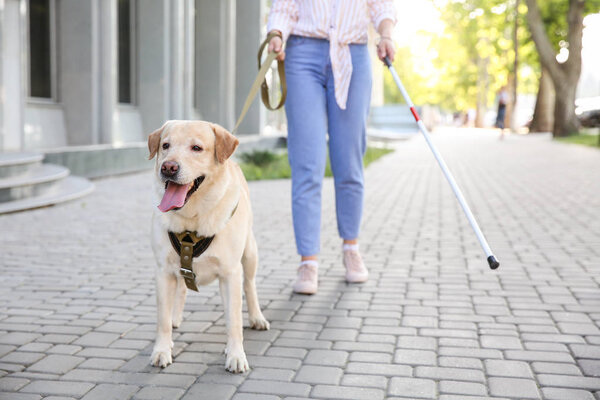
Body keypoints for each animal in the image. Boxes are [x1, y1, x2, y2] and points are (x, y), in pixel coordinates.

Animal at [146, 120, 268, 374]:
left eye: (197, 148)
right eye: (165, 145)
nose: (168, 167)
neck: (191, 219)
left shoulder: (231, 273)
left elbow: (234, 321)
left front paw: (236, 355)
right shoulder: (162, 271)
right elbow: (162, 320)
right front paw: (161, 350)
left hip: (250, 253)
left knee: (250, 285)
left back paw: (257, 317)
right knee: (181, 289)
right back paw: (175, 317)